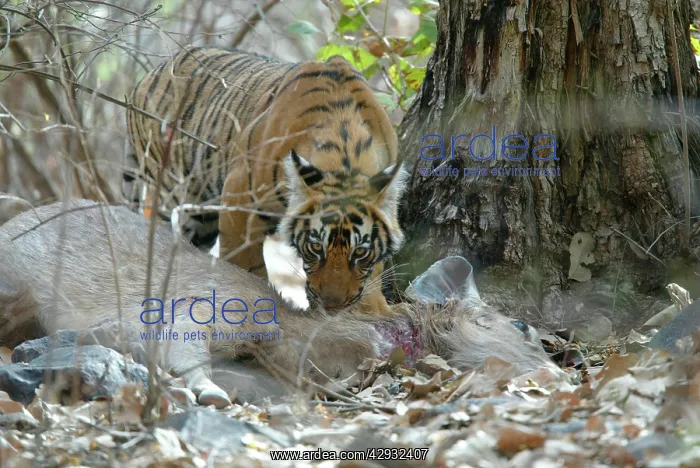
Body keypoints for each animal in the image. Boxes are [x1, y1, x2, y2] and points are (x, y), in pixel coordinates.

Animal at [124, 46, 408, 316]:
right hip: (170, 191)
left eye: (360, 251)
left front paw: (374, 309)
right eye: (315, 247)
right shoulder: (239, 199)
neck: (345, 155)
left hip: (201, 218)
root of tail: (147, 77)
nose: (332, 305)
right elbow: (246, 265)